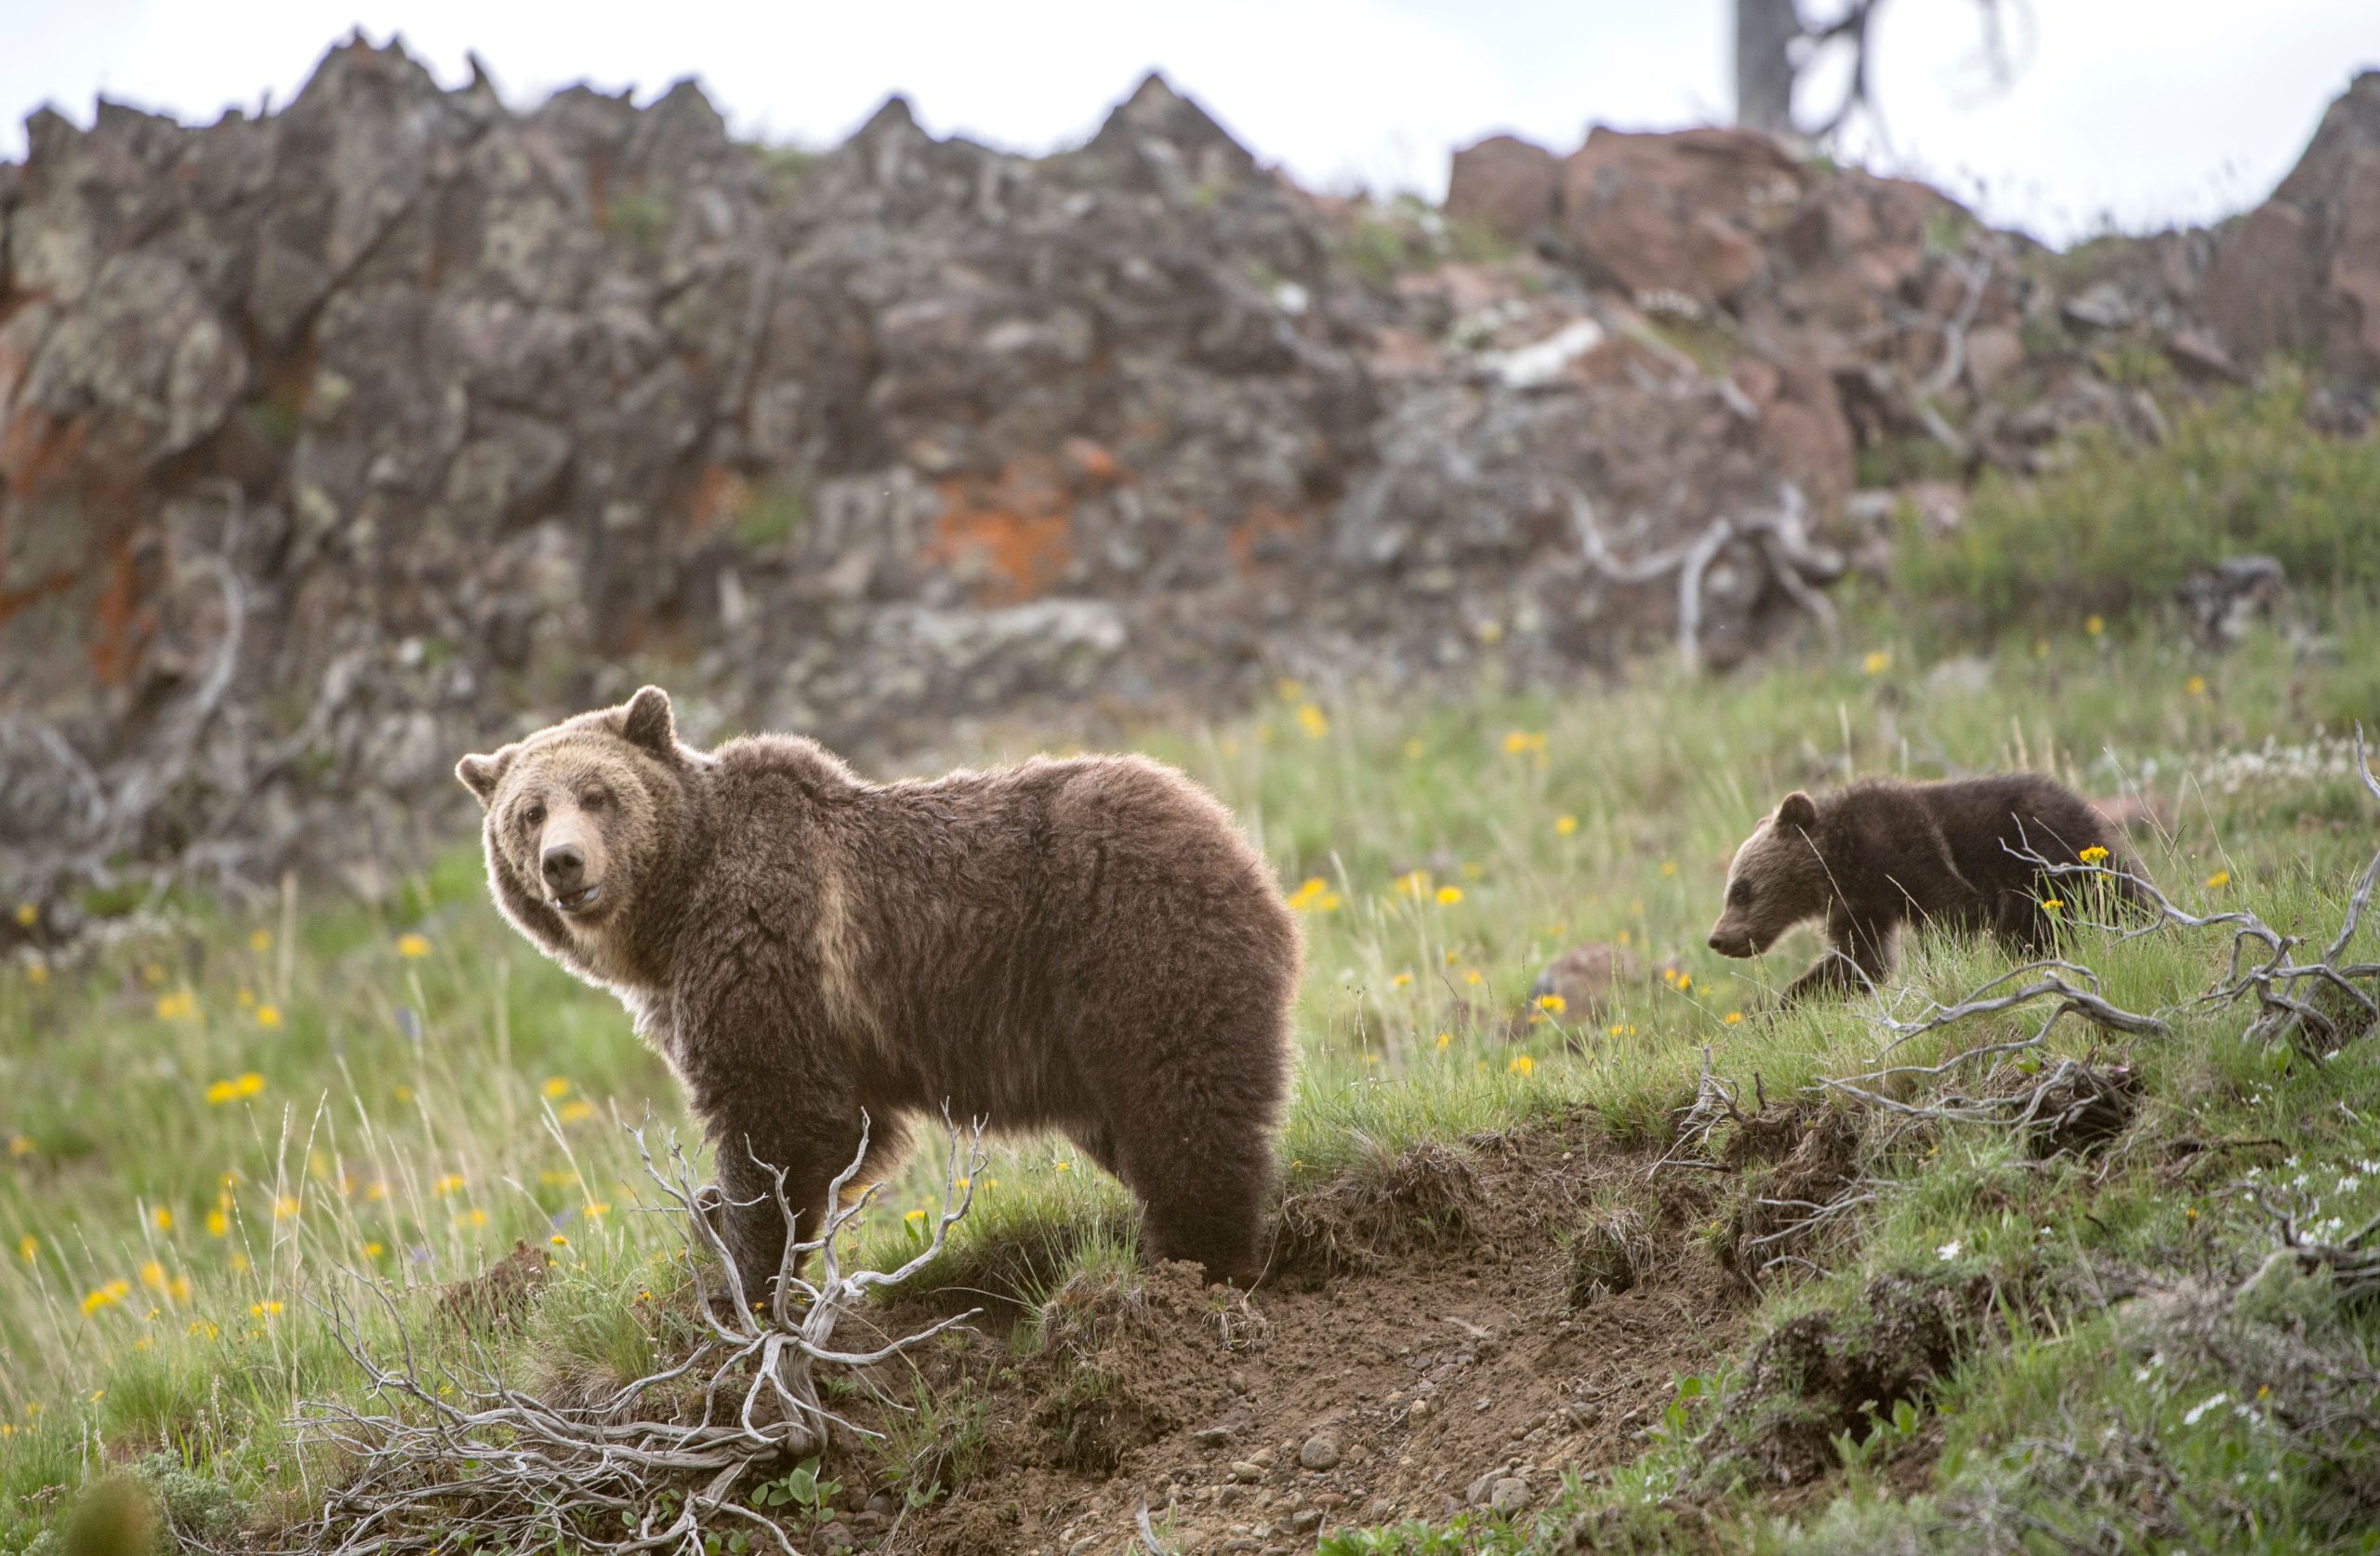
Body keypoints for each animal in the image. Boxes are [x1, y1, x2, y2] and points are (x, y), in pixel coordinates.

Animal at [456, 686, 1301, 1300]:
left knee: (1180, 1102)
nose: (564, 862)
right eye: (529, 812)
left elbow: (783, 1117)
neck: (672, 914)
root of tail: (1233, 838)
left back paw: (1196, 1260)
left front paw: (741, 1273)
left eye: (599, 793)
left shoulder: (767, 946)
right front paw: (714, 1233)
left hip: (1132, 942)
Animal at [1705, 773, 2145, 1004]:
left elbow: (1955, 910)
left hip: (2044, 861)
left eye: (1740, 889)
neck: (1844, 862)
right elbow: (1861, 960)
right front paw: (1779, 1008)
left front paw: (1938, 981)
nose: (1718, 938)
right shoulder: (1861, 904)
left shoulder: (1906, 847)